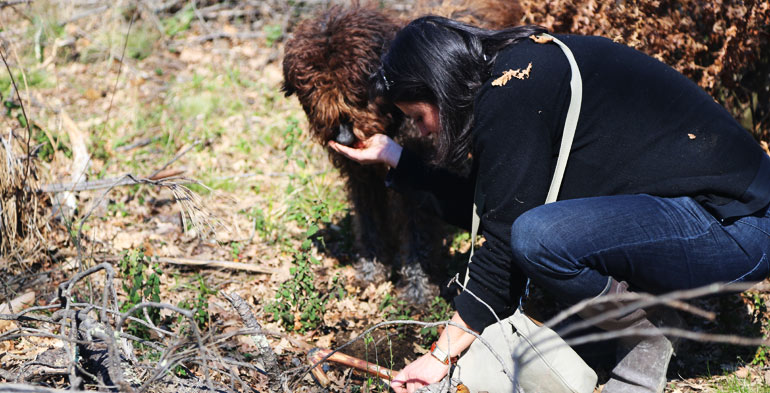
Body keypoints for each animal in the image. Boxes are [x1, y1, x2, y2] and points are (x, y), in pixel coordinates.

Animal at [280, 1, 520, 304]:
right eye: (314, 92)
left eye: (356, 90)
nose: (345, 137)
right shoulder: (362, 174)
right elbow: (369, 218)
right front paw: (371, 268)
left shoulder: (415, 177)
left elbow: (416, 229)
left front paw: (418, 287)